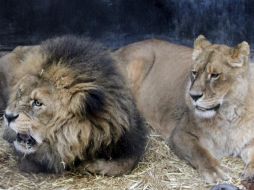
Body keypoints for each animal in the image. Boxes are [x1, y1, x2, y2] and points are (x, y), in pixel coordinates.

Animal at [2, 36, 148, 175]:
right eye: (19, 93)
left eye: (38, 103)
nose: (8, 116)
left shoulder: (131, 139)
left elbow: (126, 163)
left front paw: (92, 166)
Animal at [114, 35, 254, 183]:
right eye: (194, 73)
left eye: (215, 75)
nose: (193, 95)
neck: (228, 115)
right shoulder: (180, 134)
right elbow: (200, 152)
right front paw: (215, 171)